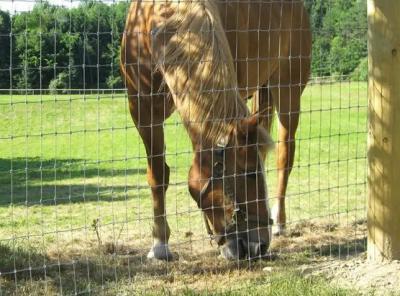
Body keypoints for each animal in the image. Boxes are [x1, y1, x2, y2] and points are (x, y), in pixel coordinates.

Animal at [120, 0, 310, 260]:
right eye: (250, 173)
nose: (259, 246)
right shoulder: (143, 112)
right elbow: (157, 175)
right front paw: (160, 244)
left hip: (288, 91)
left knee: (285, 157)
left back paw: (280, 221)